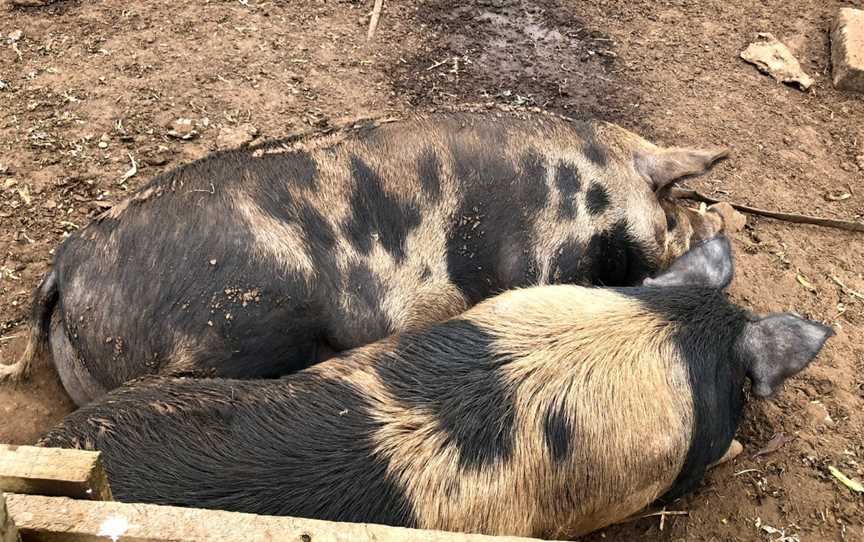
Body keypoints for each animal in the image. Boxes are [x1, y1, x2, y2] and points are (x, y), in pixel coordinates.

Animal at [3, 111, 728, 408]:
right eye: (674, 210)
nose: (714, 220)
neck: (594, 189)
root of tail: (63, 265)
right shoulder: (536, 261)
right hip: (232, 333)